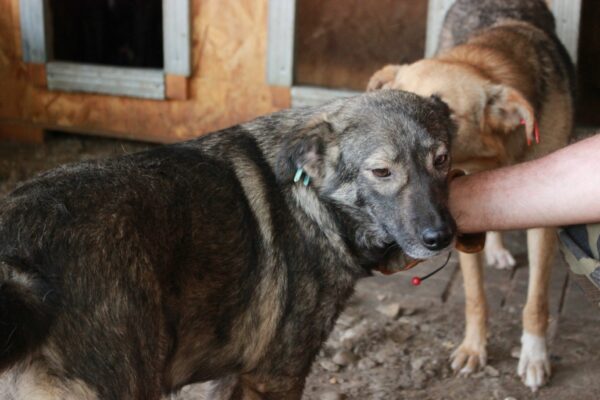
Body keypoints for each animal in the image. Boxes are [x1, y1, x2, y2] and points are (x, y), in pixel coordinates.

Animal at [0, 90, 454, 400]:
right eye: (381, 171)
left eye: (442, 160)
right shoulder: (277, 376)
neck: (313, 198)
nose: (441, 237)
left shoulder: (234, 373)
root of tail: (17, 261)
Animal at [368, 0, 576, 390]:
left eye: (442, 110)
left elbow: (536, 301)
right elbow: (476, 296)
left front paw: (534, 356)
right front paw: (473, 349)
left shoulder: (546, 220)